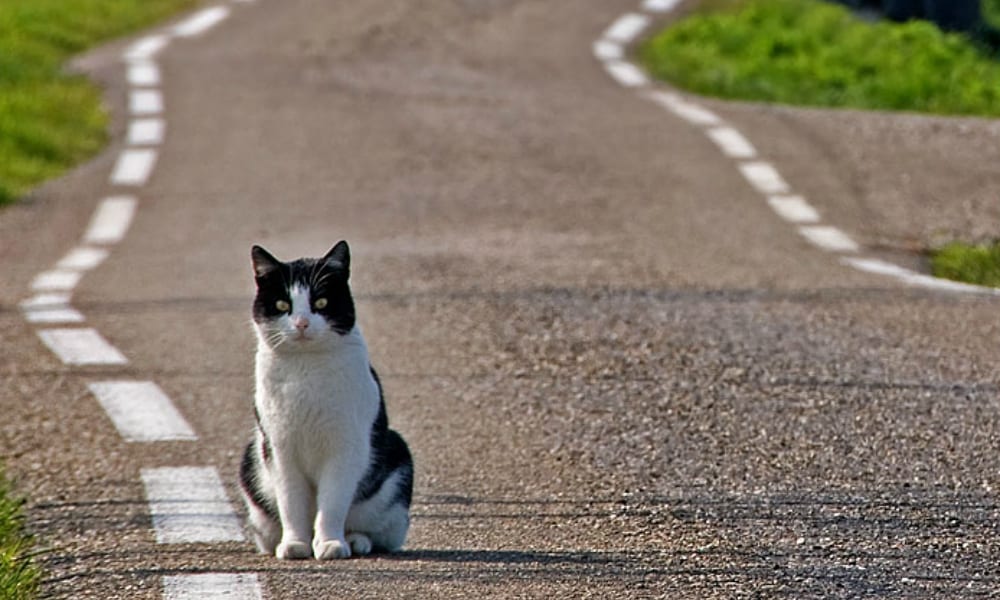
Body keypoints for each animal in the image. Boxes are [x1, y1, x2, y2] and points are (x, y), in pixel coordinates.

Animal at [236, 241, 412, 560]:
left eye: (320, 303)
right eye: (283, 305)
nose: (302, 323)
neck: (307, 367)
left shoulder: (345, 447)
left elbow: (332, 502)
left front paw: (330, 543)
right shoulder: (280, 448)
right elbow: (291, 502)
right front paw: (295, 544)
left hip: (397, 459)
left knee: (374, 529)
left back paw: (355, 541)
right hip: (251, 462)